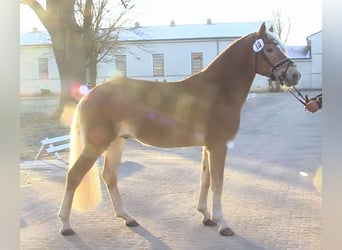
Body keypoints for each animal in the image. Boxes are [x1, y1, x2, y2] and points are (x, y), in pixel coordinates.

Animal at [58, 22, 302, 236]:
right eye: (269, 48)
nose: (295, 75)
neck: (219, 90)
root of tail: (89, 93)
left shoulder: (208, 147)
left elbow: (206, 179)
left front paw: (206, 216)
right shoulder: (219, 146)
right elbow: (218, 183)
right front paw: (223, 224)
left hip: (117, 142)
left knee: (109, 176)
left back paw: (127, 218)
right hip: (97, 144)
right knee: (74, 176)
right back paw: (65, 225)